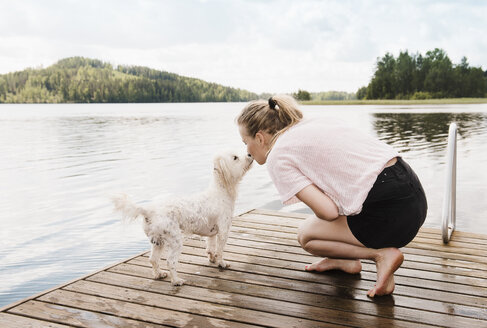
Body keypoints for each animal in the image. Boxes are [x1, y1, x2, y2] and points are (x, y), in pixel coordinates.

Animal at [112, 151, 254, 284]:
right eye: (235, 157)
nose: (250, 154)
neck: (220, 192)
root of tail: (149, 211)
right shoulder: (223, 230)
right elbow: (220, 250)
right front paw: (221, 263)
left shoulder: (212, 232)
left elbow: (211, 247)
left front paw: (212, 258)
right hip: (175, 239)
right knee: (170, 261)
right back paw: (176, 281)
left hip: (157, 241)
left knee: (153, 259)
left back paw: (159, 274)